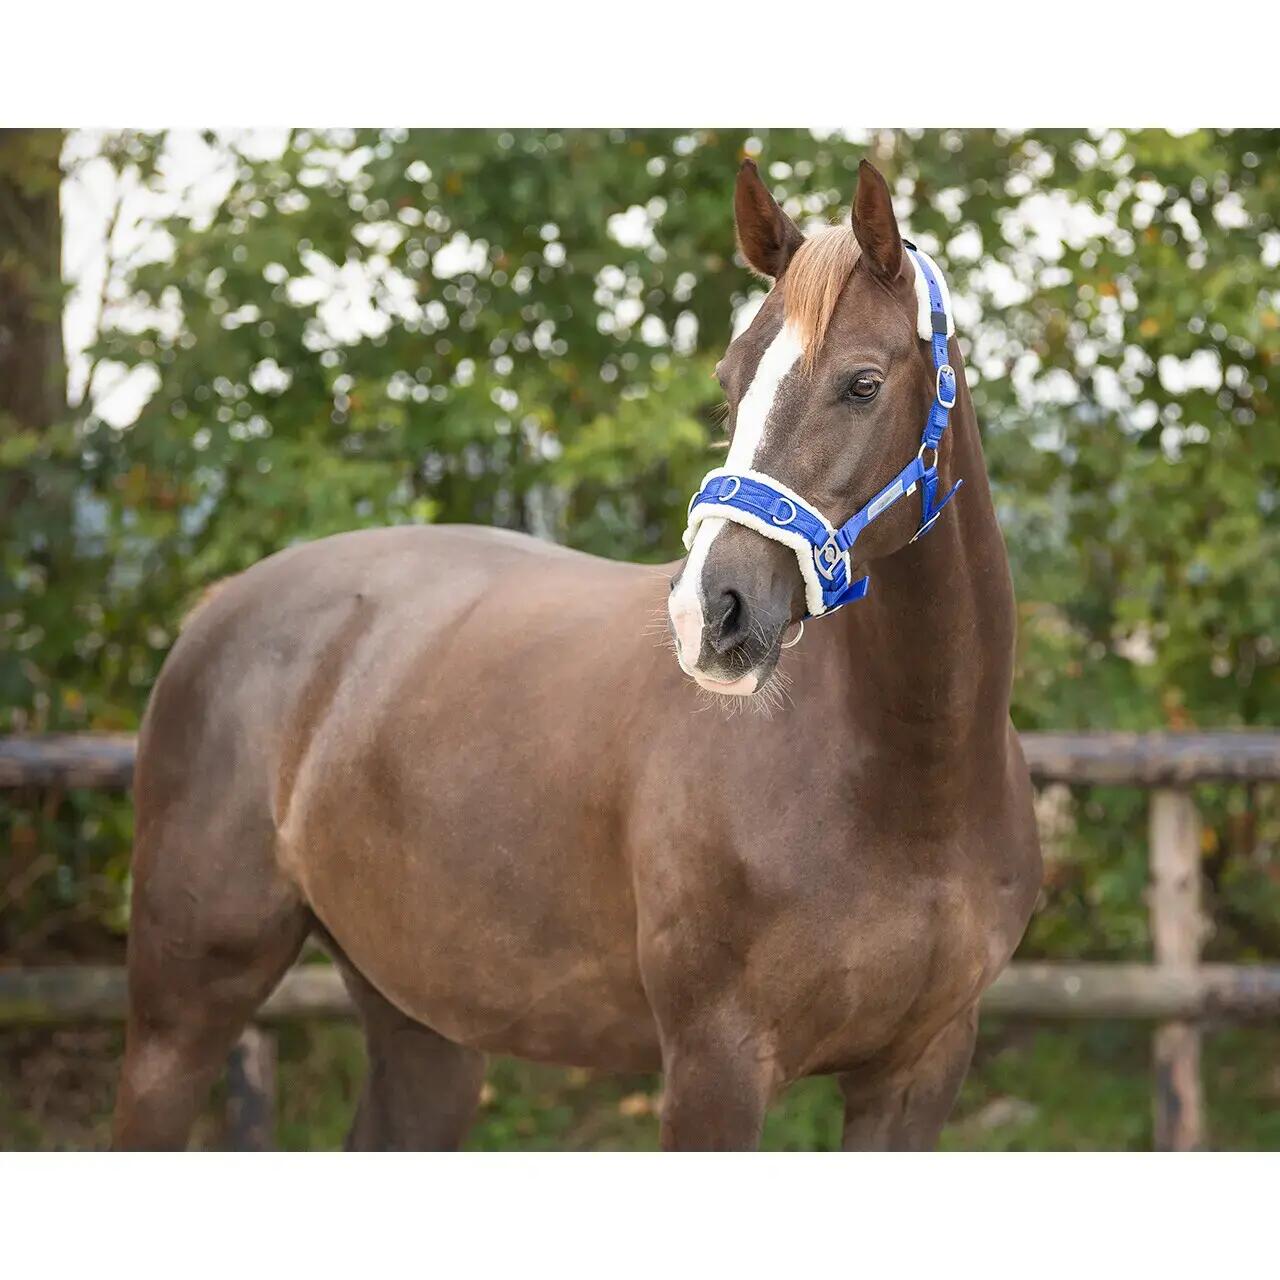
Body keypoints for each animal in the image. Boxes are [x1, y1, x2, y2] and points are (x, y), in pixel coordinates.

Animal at [112, 157, 1041, 1151]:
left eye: (863, 384)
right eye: (731, 379)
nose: (712, 613)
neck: (912, 786)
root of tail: (219, 611)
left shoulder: (917, 1070)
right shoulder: (715, 1068)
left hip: (425, 1019)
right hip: (181, 1011)